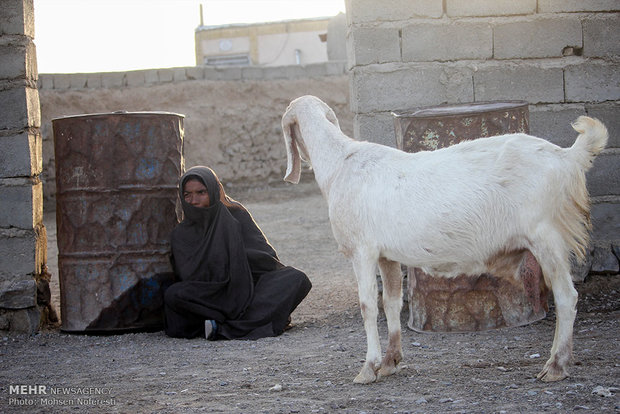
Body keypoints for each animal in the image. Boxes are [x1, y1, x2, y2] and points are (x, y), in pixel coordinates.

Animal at [282, 95, 612, 384]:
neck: (340, 163)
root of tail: (567, 157)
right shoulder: (387, 255)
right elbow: (391, 303)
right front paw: (391, 361)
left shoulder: (361, 250)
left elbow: (367, 306)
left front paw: (368, 369)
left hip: (546, 234)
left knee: (567, 296)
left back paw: (556, 366)